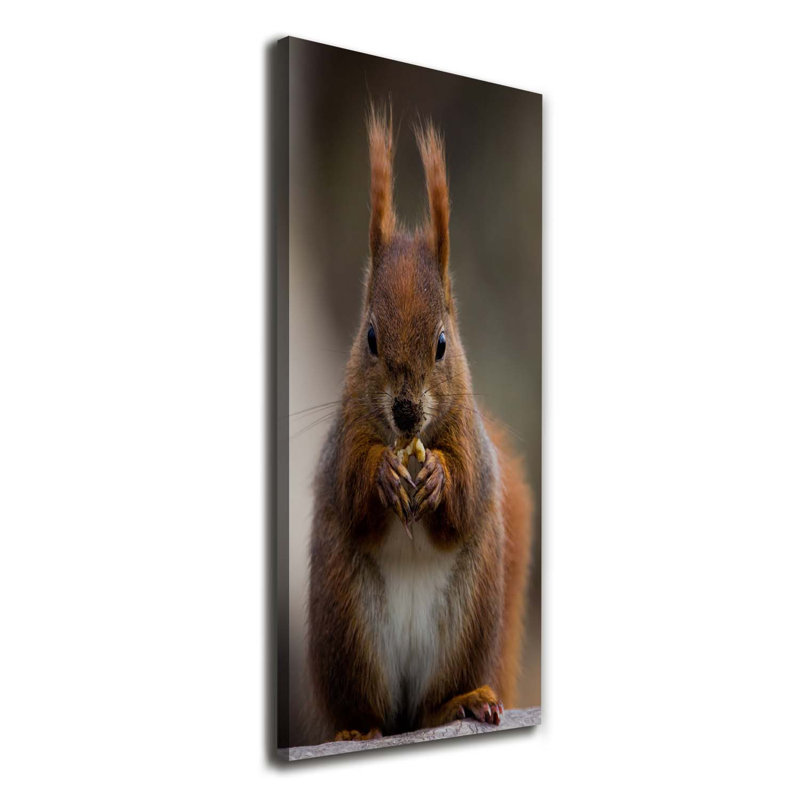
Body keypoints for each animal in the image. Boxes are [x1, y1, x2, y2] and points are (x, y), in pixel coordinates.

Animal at [307, 106, 534, 742]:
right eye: (369, 337)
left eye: (441, 342)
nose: (406, 411)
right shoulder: (342, 442)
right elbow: (351, 487)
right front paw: (384, 473)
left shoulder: (471, 442)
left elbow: (467, 492)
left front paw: (436, 480)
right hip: (348, 625)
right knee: (373, 712)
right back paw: (357, 731)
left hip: (468, 619)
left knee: (431, 702)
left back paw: (459, 703)